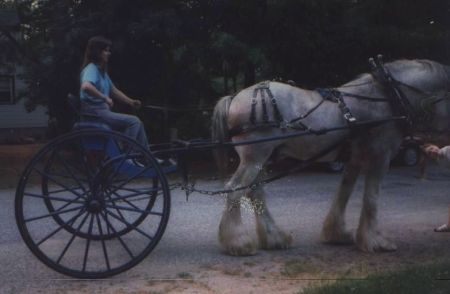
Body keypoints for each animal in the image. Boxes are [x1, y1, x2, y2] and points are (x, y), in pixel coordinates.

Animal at [211, 58, 450, 256]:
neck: (387, 97)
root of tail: (235, 97)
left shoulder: (354, 159)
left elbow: (343, 193)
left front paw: (337, 233)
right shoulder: (380, 156)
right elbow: (372, 199)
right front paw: (375, 241)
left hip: (263, 159)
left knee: (255, 192)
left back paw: (274, 238)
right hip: (254, 157)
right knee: (235, 189)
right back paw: (238, 242)